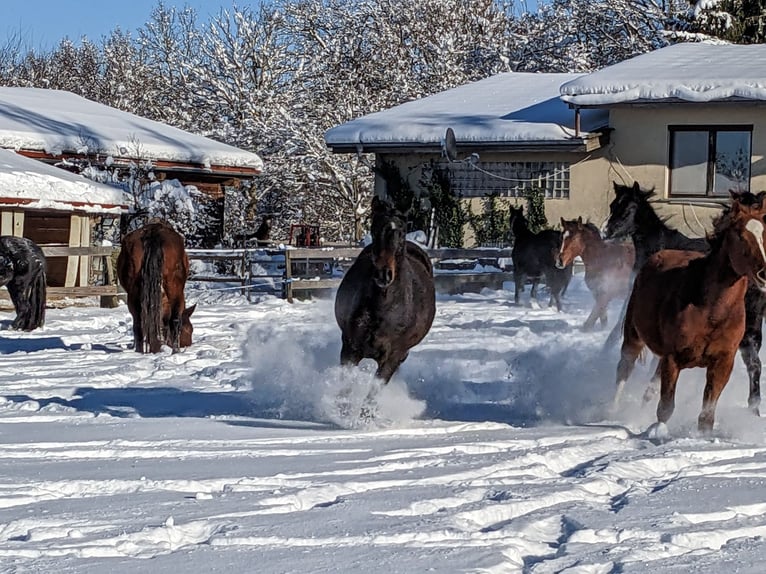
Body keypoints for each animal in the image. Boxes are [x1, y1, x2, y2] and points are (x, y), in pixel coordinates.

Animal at [117, 222, 196, 354]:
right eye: (189, 329)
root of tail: (153, 233)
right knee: (174, 319)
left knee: (138, 323)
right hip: (174, 288)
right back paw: (175, 351)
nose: (189, 344)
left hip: (133, 293)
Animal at [332, 196, 436, 384]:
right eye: (374, 231)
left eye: (401, 232)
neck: (383, 308)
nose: (383, 274)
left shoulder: (392, 358)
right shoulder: (350, 349)